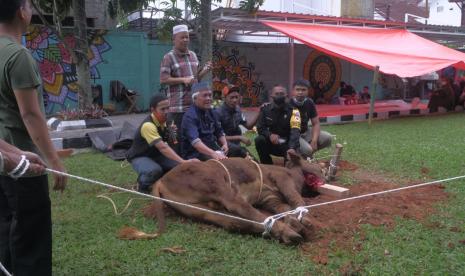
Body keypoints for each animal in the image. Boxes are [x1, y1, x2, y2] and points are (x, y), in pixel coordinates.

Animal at [152, 151, 322, 244]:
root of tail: (161, 181)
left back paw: (290, 234)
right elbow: (294, 197)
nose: (325, 165)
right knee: (240, 208)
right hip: (218, 185)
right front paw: (307, 220)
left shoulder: (269, 198)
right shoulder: (282, 179)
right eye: (314, 163)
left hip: (196, 209)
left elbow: (284, 207)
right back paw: (292, 233)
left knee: (233, 221)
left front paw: (295, 221)